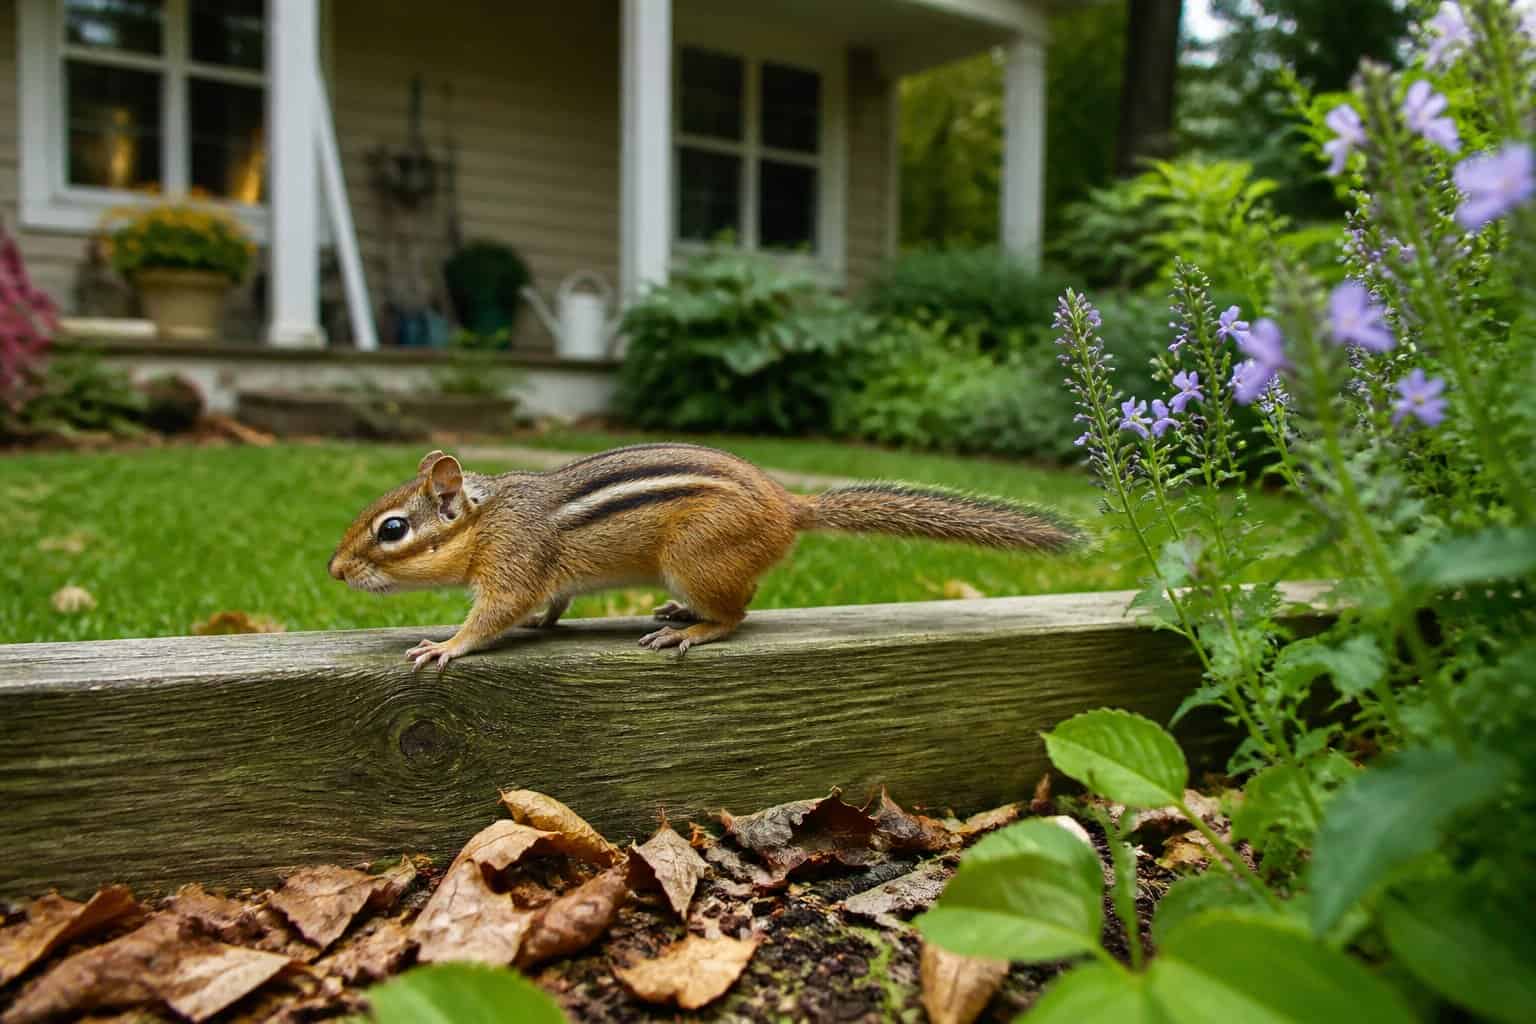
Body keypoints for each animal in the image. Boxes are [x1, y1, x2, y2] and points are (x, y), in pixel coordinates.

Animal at [328, 444, 1086, 669]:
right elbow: (550, 600)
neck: (487, 520)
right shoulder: (542, 571)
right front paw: (547, 623)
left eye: (391, 530)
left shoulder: (513, 562)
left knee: (740, 613)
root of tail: (790, 507)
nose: (334, 572)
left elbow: (493, 615)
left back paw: (689, 628)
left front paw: (445, 646)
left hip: (695, 555)